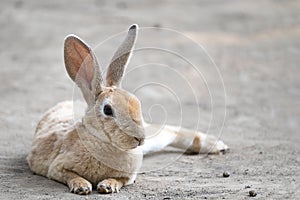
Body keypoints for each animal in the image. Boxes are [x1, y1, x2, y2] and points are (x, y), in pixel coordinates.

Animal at [27, 24, 227, 195]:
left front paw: (108, 186)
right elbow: (70, 175)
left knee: (170, 131)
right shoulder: (56, 168)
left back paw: (215, 145)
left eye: (138, 104)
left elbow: (121, 180)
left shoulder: (129, 176)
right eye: (108, 110)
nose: (139, 139)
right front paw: (82, 187)